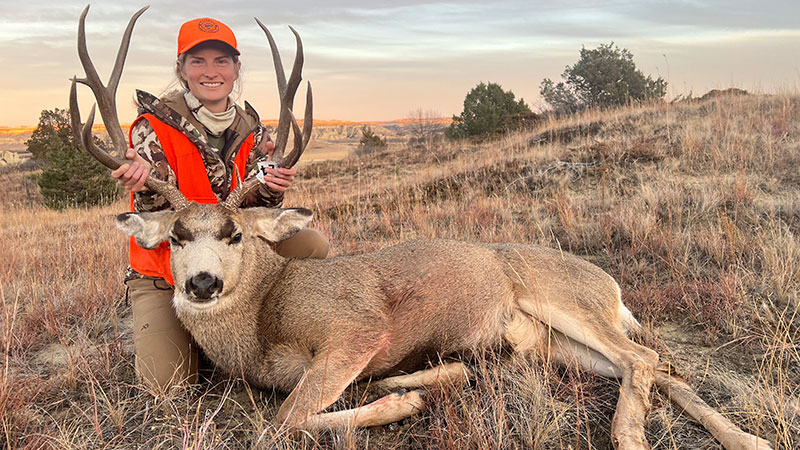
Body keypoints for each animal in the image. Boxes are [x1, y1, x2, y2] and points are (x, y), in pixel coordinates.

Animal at [72, 7, 772, 450]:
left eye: (236, 234)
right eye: (177, 237)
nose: (202, 285)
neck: (266, 317)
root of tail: (612, 284)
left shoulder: (357, 326)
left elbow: (284, 420)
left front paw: (405, 402)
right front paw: (421, 385)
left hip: (569, 301)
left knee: (645, 356)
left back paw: (629, 436)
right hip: (550, 344)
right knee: (660, 368)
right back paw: (746, 438)